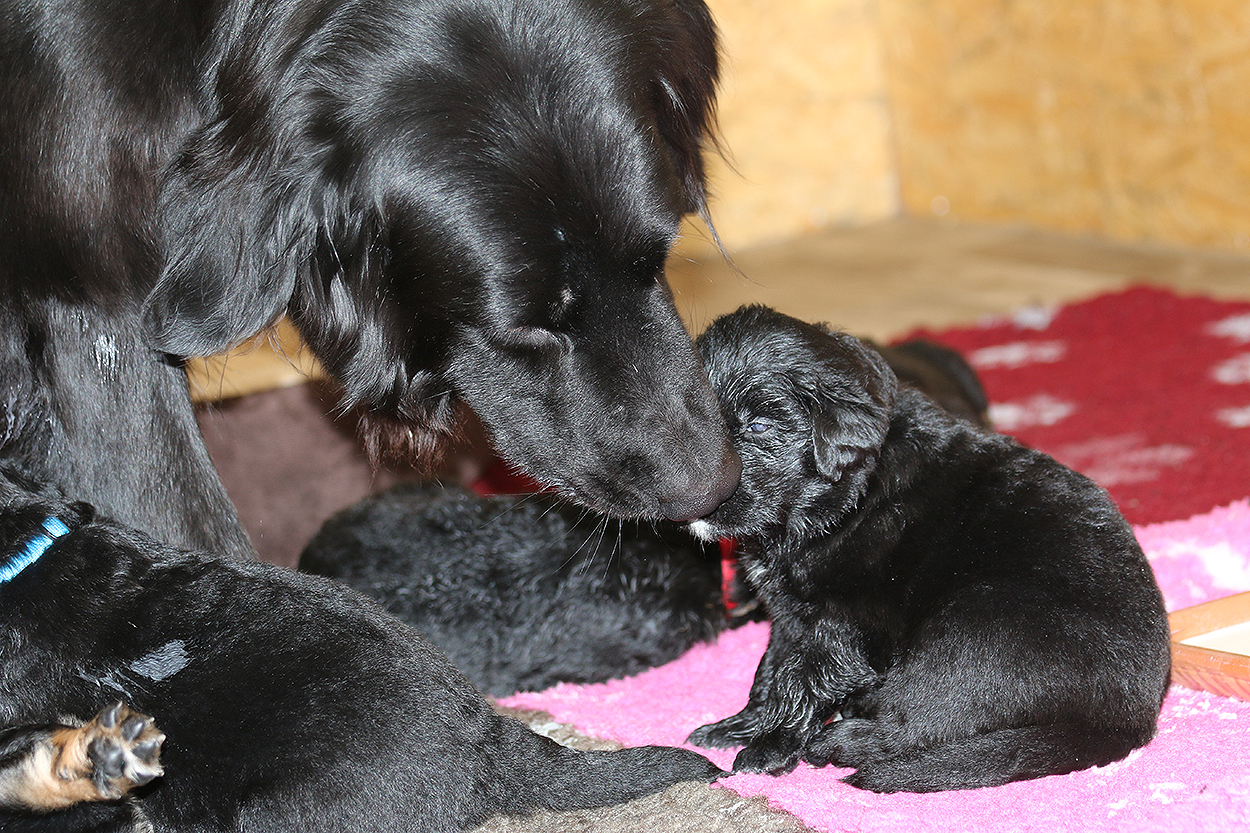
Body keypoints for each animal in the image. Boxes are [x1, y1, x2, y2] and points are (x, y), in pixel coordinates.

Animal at [685, 306, 1171, 793]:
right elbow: (771, 671)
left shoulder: (846, 624)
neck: (850, 495)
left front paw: (767, 748)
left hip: (971, 630)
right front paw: (738, 726)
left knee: (917, 723)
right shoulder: (791, 616)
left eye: (759, 425)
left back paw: (839, 741)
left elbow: (802, 680)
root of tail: (1128, 722)